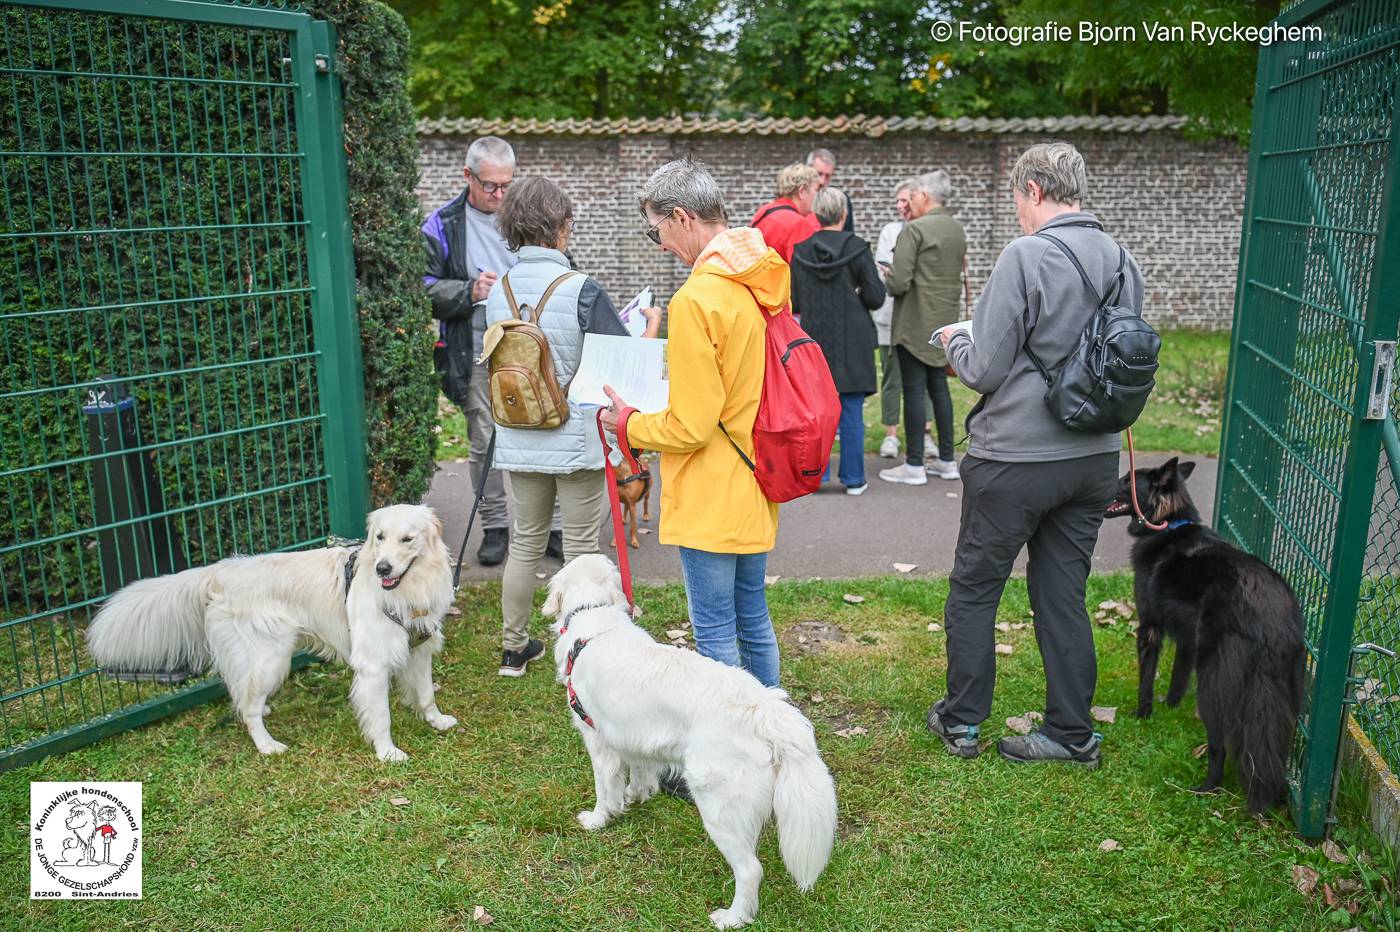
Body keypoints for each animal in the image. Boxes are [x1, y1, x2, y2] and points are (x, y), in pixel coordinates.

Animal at [87, 503, 456, 761]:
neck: (409, 589)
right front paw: (387, 752)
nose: (382, 568)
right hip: (271, 658)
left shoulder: (420, 649)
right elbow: (381, 716)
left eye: (407, 538)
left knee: (244, 694)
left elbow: (426, 693)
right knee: (247, 707)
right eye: (379, 537)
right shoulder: (372, 666)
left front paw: (436, 721)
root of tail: (220, 571)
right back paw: (267, 745)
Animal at [543, 551, 828, 923]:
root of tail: (764, 707)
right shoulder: (636, 738)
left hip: (718, 806)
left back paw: (732, 918)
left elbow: (604, 790)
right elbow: (640, 771)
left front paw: (597, 819)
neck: (593, 614)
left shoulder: (599, 742)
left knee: (750, 869)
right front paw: (637, 795)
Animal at [1103, 453, 1310, 811]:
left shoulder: (1150, 627)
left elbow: (1146, 679)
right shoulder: (1188, 639)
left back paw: (1207, 787)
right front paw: (1170, 705)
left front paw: (1142, 713)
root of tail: (1272, 618)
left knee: (1219, 744)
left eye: (1126, 480)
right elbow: (1177, 676)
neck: (1169, 524)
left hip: (1214, 682)